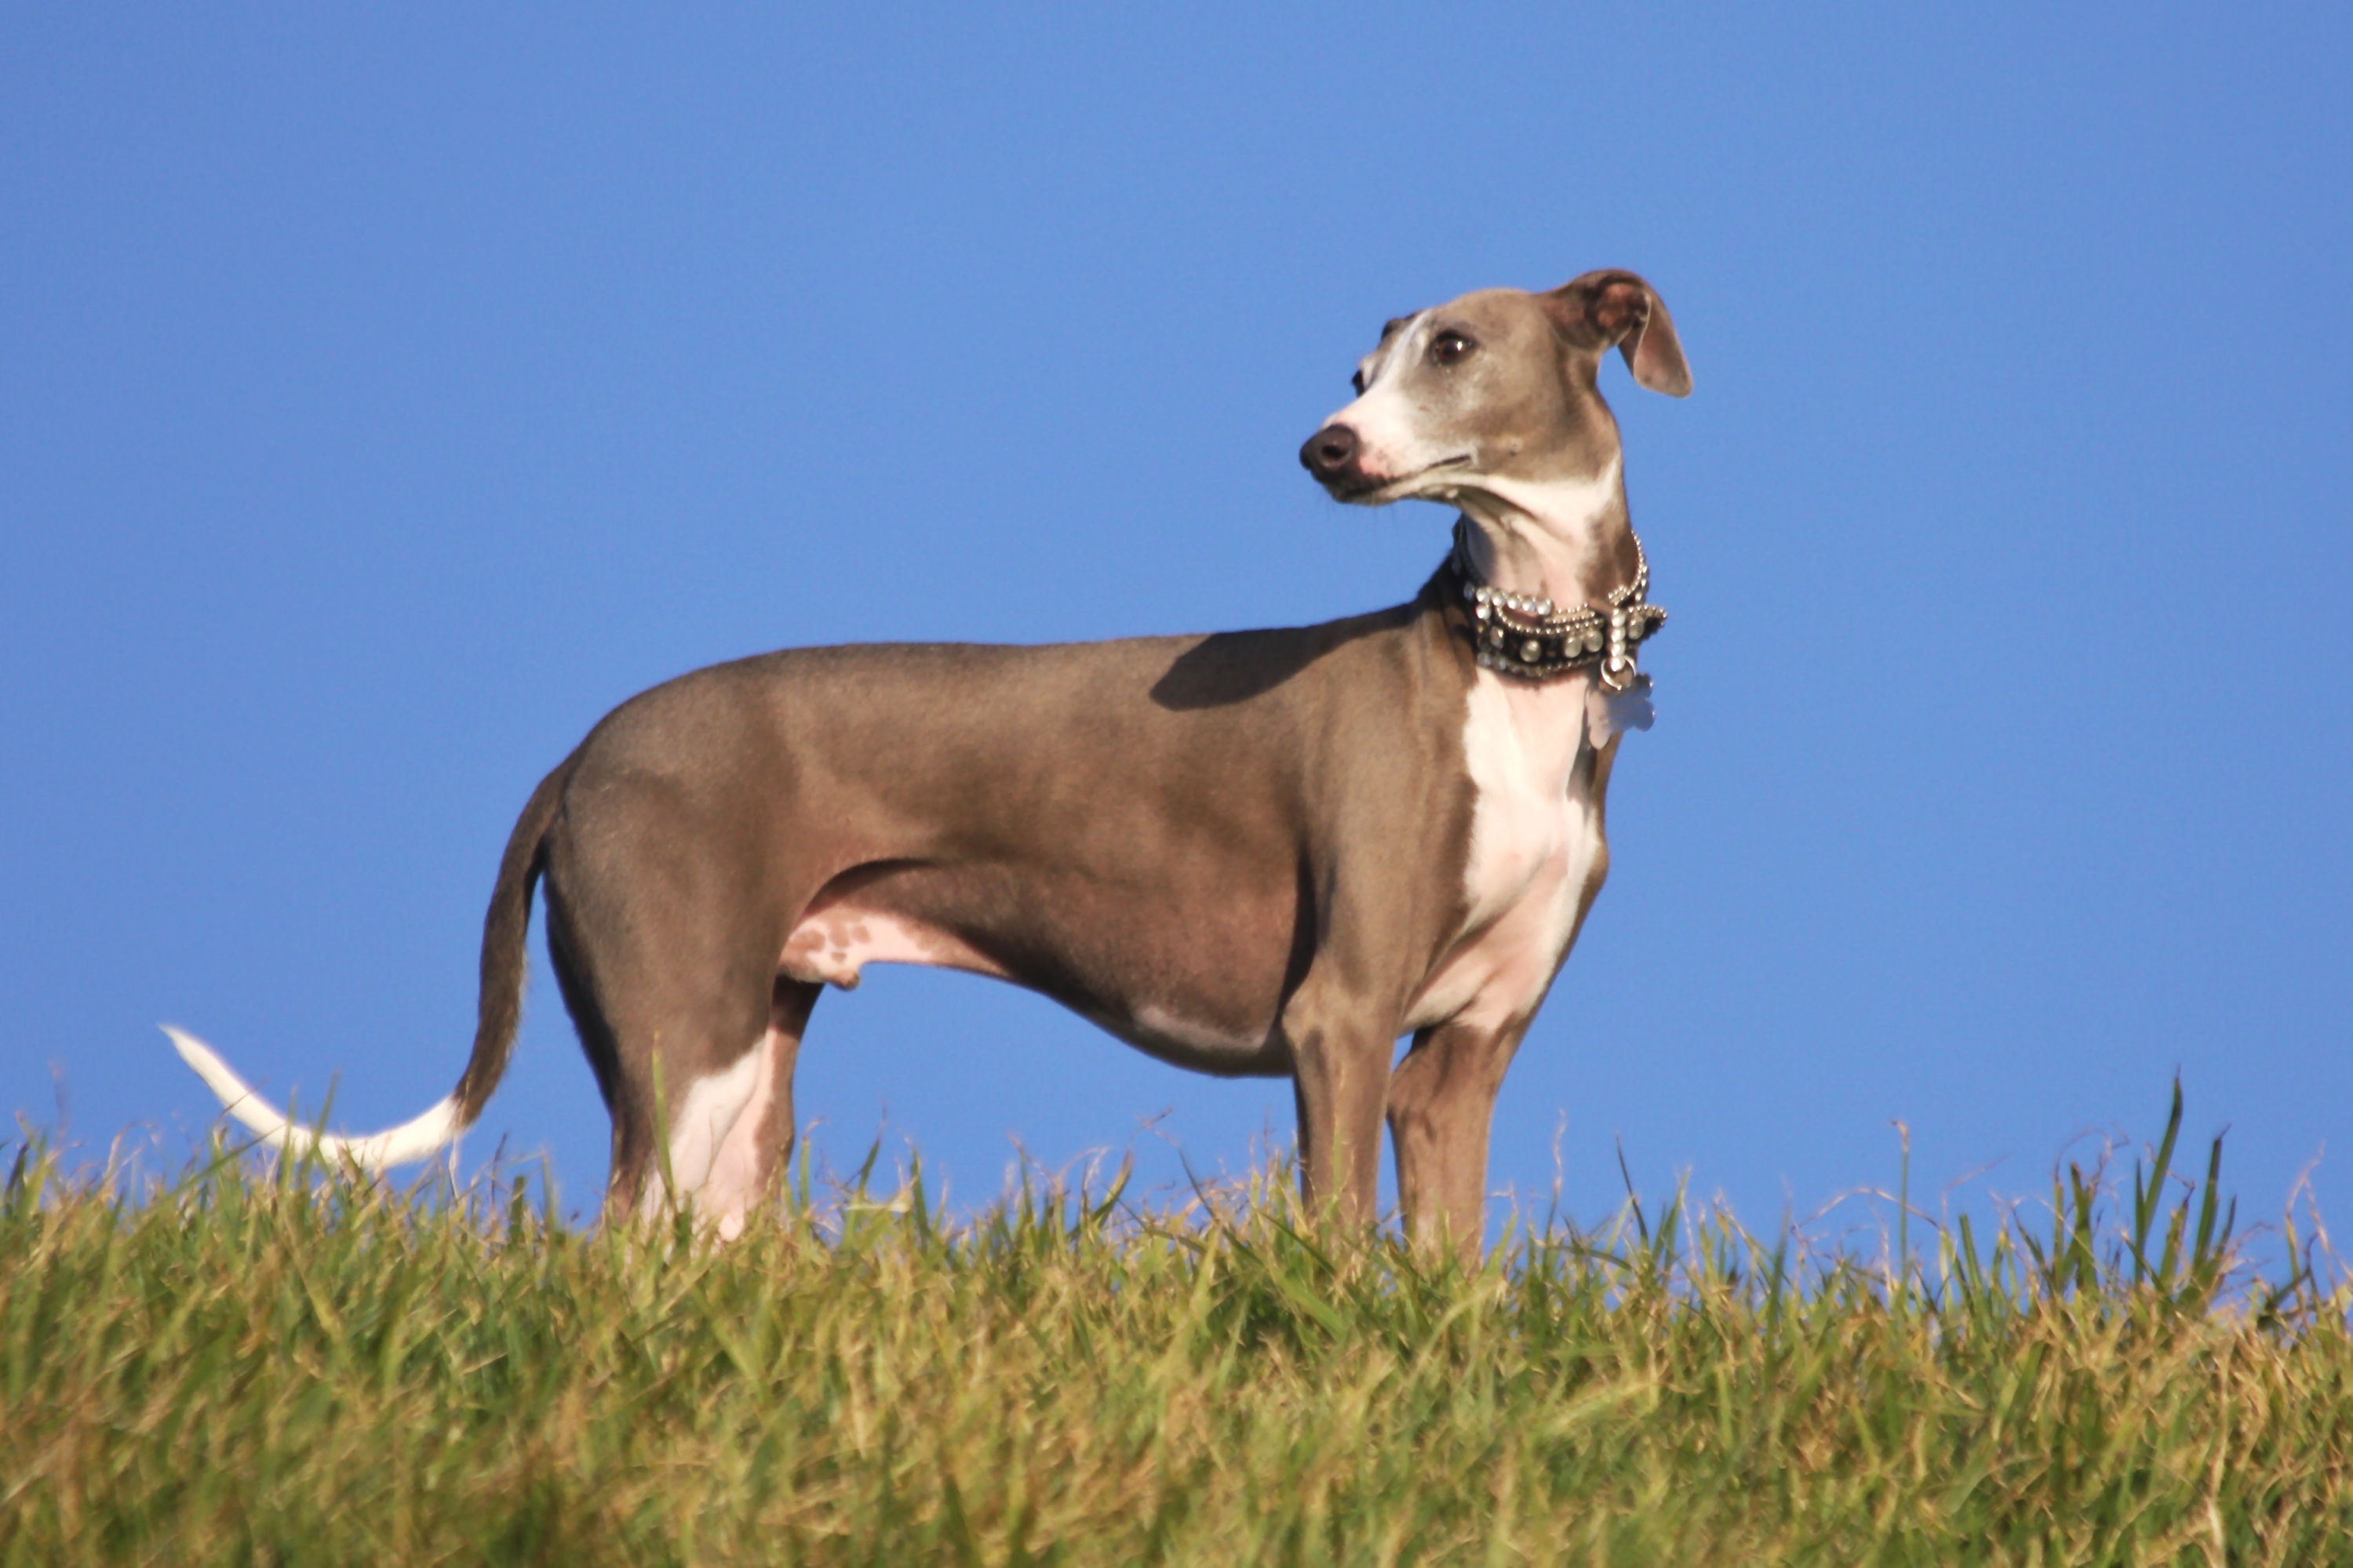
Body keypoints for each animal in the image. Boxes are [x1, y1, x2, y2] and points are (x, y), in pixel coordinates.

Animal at [178, 263, 1694, 1260]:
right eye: (1360, 372)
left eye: (1452, 346)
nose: (1324, 448)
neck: (1514, 668)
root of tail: (584, 749)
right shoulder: (1340, 1014)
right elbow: (1333, 1243)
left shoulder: (1461, 1058)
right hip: (683, 1046)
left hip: (748, 1073)